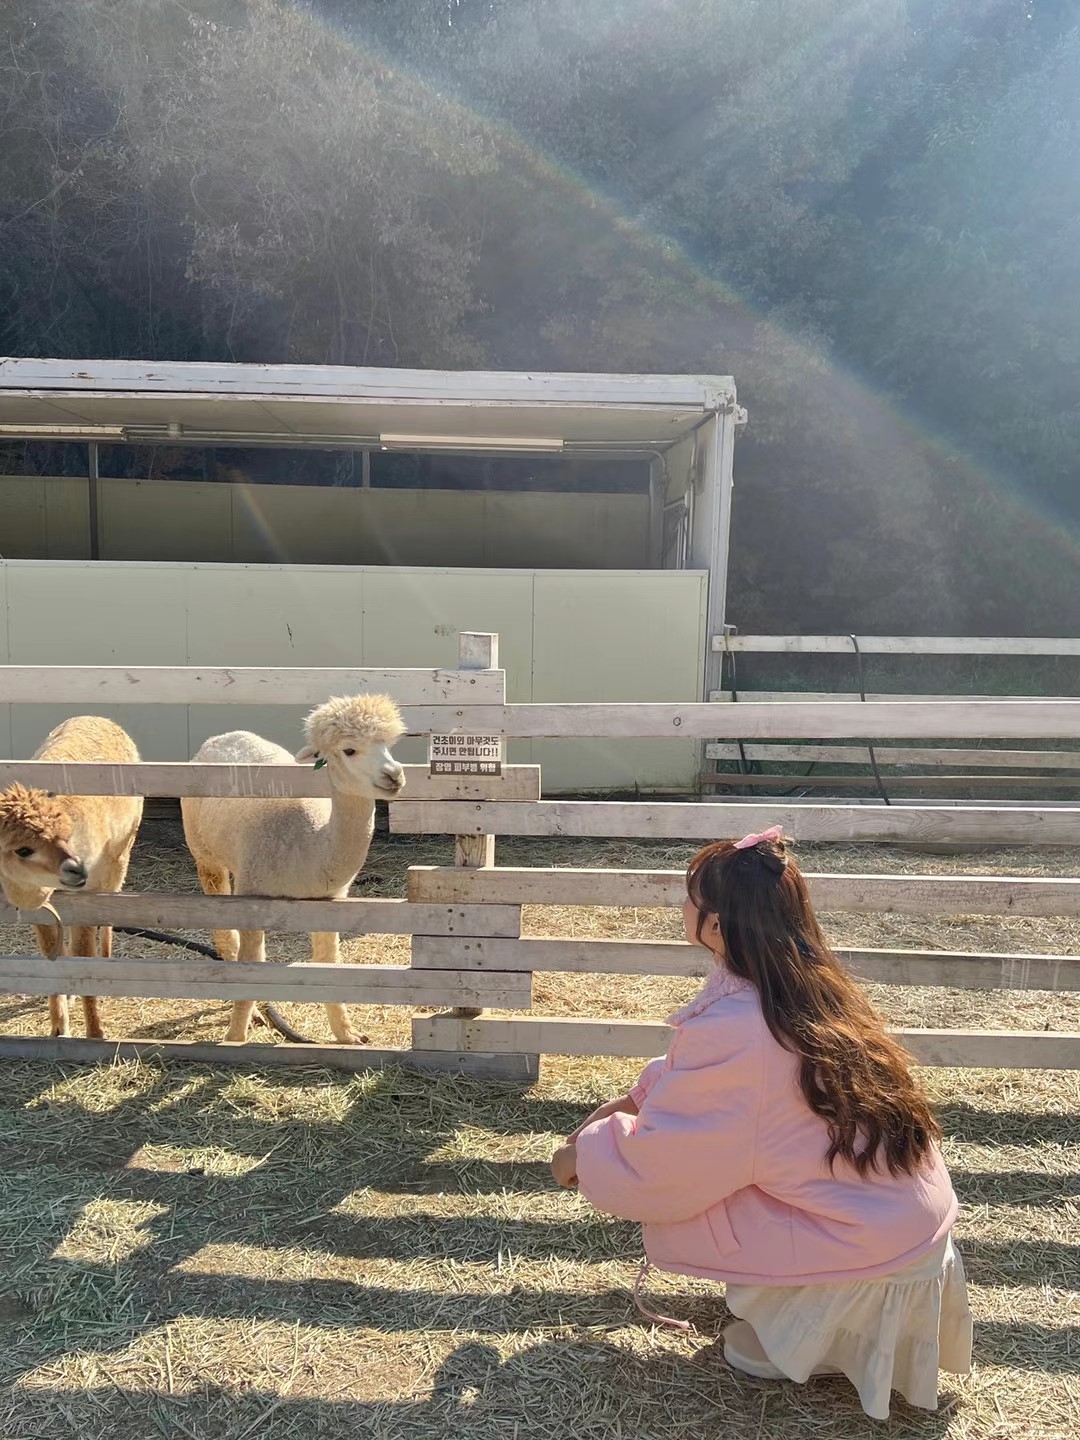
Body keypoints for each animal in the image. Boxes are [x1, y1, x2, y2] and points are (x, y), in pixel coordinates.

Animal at [0, 716, 144, 1038]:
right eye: (23, 849)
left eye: (64, 835)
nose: (77, 868)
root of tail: (100, 717)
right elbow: (51, 954)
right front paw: (59, 1028)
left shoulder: (85, 896)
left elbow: (82, 955)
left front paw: (95, 1032)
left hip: (121, 852)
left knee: (110, 911)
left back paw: (107, 963)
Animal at [181, 694, 406, 1044]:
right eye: (349, 750)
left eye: (388, 745)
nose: (394, 775)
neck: (308, 847)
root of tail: (220, 738)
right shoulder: (253, 898)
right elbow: (251, 968)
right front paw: (235, 1037)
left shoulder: (330, 900)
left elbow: (329, 964)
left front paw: (348, 1035)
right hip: (204, 852)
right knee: (225, 930)